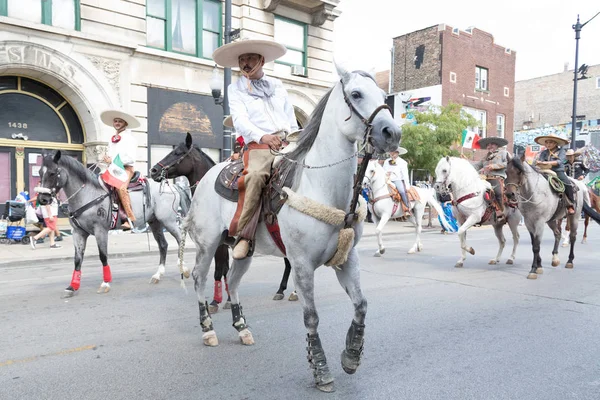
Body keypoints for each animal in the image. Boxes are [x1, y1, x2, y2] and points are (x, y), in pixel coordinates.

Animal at [36, 152, 186, 296]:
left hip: (168, 221)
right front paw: (72, 286)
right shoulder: (78, 232)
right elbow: (78, 259)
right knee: (163, 245)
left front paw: (105, 283)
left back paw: (184, 269)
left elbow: (103, 255)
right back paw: (158, 275)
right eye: (39, 172)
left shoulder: (100, 230)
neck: (87, 194)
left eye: (52, 173)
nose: (42, 199)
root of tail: (171, 185)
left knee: (180, 240)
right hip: (155, 222)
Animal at [179, 65, 404, 390]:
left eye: (383, 97)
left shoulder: (347, 258)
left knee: (233, 281)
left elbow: (361, 305)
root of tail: (206, 177)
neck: (322, 189)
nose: (392, 133)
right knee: (199, 278)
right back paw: (208, 329)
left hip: (242, 249)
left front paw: (351, 356)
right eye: (356, 94)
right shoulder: (301, 265)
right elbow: (312, 317)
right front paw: (321, 369)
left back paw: (242, 327)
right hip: (209, 243)